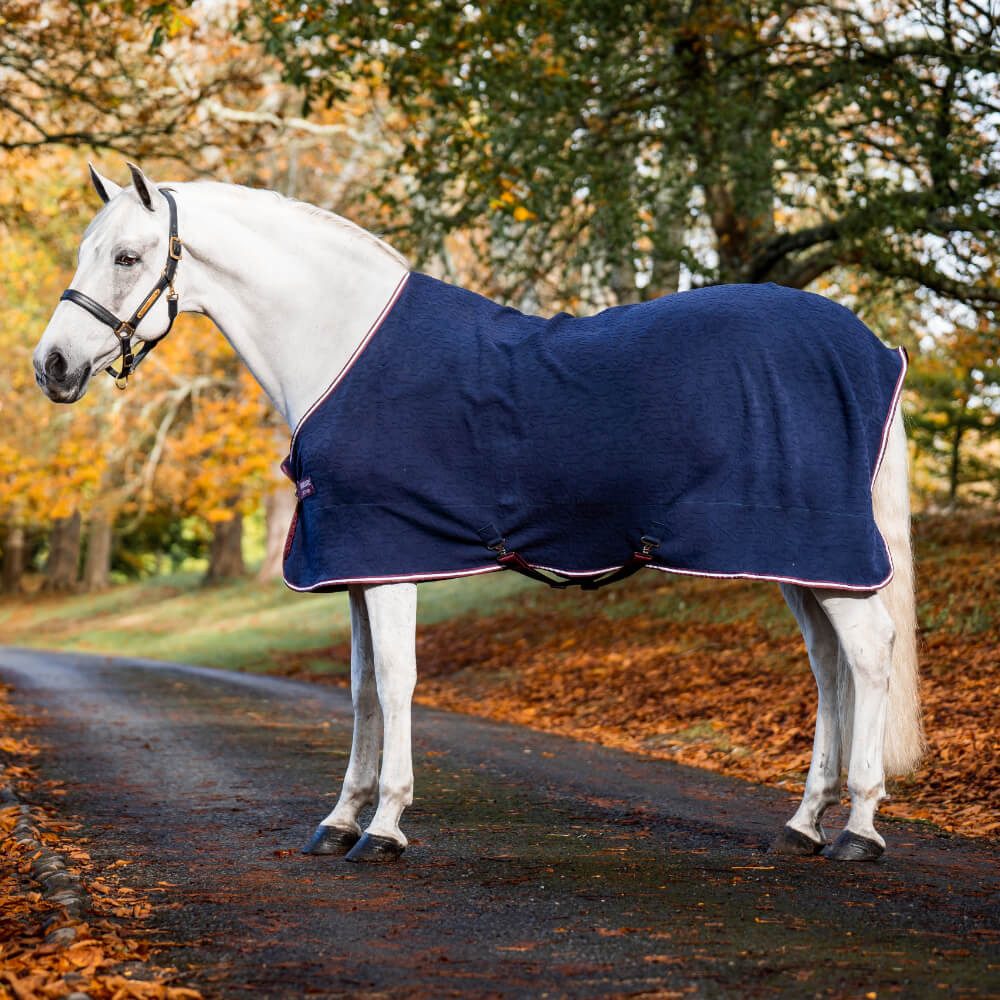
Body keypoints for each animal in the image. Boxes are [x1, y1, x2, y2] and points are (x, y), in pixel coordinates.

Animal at [33, 163, 924, 864]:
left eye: (128, 256)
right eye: (87, 252)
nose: (52, 366)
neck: (341, 346)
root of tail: (873, 349)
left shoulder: (390, 558)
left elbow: (395, 682)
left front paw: (384, 827)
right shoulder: (356, 564)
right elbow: (360, 689)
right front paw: (339, 818)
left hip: (825, 556)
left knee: (868, 656)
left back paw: (859, 829)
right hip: (797, 563)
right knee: (830, 670)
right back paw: (804, 823)